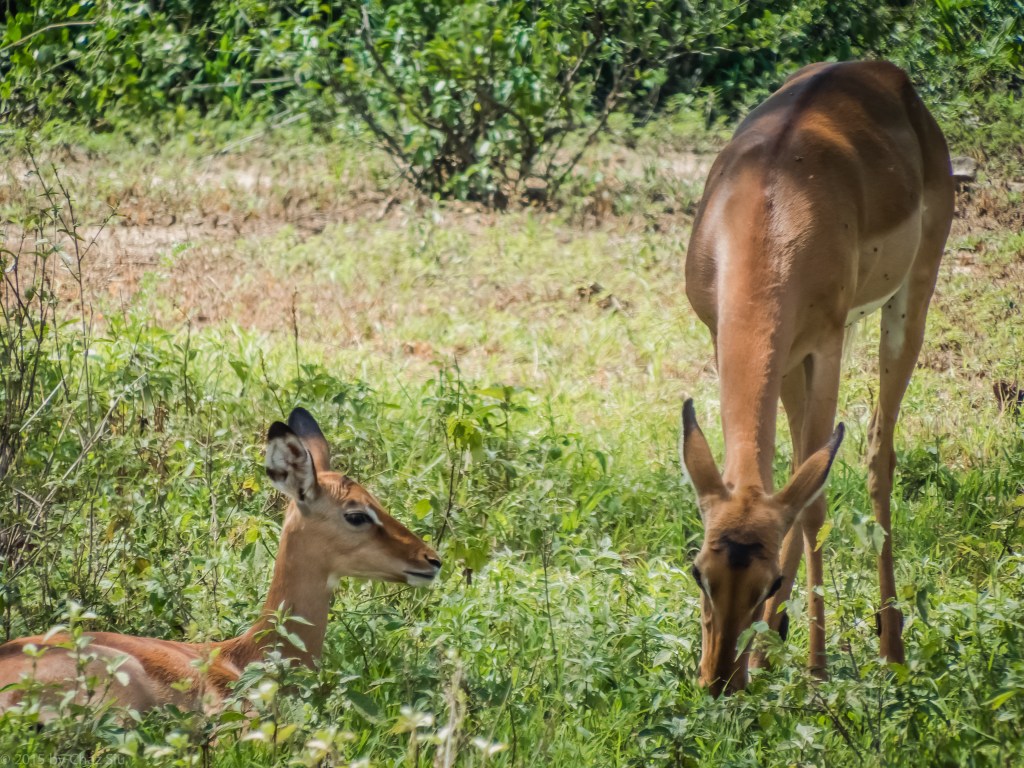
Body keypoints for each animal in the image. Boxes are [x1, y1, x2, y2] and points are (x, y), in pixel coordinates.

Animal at [680, 61, 954, 695]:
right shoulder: (746, 345)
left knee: (878, 452)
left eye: (771, 581)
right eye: (699, 571)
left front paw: (816, 667)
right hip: (795, 363)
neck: (769, 209)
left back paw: (892, 647)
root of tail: (885, 73)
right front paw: (766, 655)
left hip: (908, 302)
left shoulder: (824, 347)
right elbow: (786, 478)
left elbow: (815, 500)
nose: (717, 681)